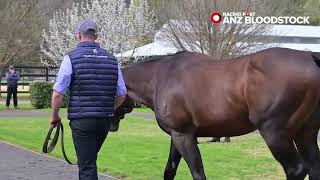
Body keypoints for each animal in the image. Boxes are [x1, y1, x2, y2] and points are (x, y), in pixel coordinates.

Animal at [114, 48, 320, 180]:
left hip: (274, 133)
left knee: (296, 169)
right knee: (313, 167)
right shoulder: (176, 135)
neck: (160, 77)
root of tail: (310, 56)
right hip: (305, 133)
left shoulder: (184, 135)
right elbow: (169, 171)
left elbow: (198, 173)